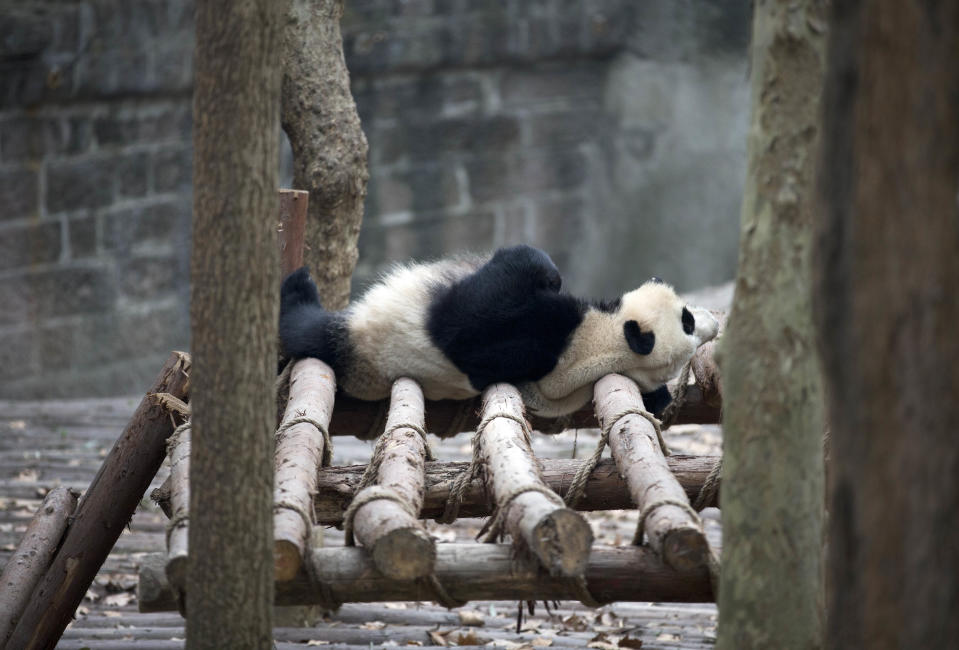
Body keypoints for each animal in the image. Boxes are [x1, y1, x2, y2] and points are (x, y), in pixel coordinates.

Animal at [282, 243, 716, 416]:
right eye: (689, 318)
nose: (710, 323)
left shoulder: (536, 329)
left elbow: (466, 321)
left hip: (363, 336)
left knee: (310, 330)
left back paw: (298, 288)